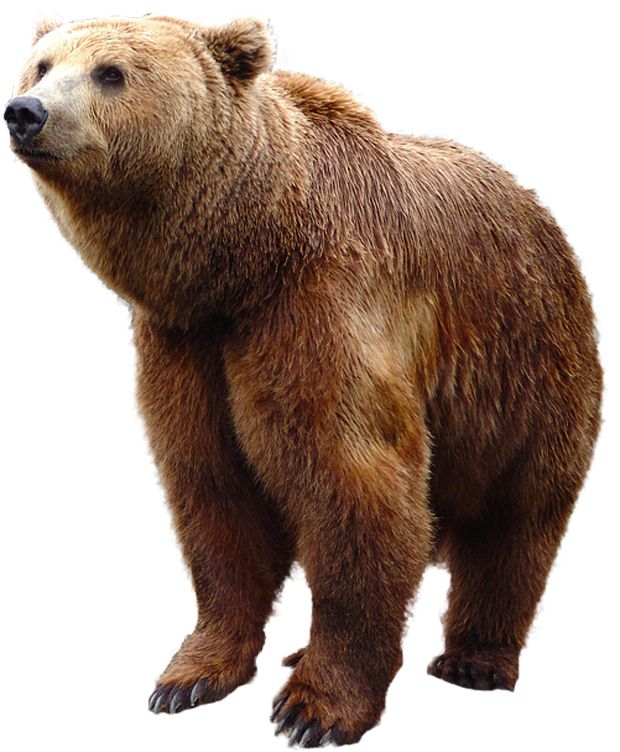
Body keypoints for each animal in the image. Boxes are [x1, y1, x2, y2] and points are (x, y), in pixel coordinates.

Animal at [6, 11, 600, 748]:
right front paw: (188, 677)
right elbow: (213, 490)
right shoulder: (187, 345)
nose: (26, 112)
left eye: (110, 72)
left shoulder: (320, 307)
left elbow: (354, 482)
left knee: (514, 521)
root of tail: (539, 210)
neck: (242, 258)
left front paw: (312, 707)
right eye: (42, 64)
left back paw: (474, 659)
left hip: (523, 367)